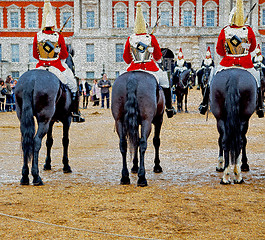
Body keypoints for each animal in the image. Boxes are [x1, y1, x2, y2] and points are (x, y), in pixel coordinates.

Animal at [14, 50, 75, 186]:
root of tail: (31, 79)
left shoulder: (51, 121)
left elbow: (49, 141)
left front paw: (47, 164)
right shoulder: (66, 119)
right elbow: (65, 140)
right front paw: (66, 166)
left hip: (25, 119)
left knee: (26, 141)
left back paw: (25, 176)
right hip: (44, 120)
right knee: (36, 141)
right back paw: (36, 177)